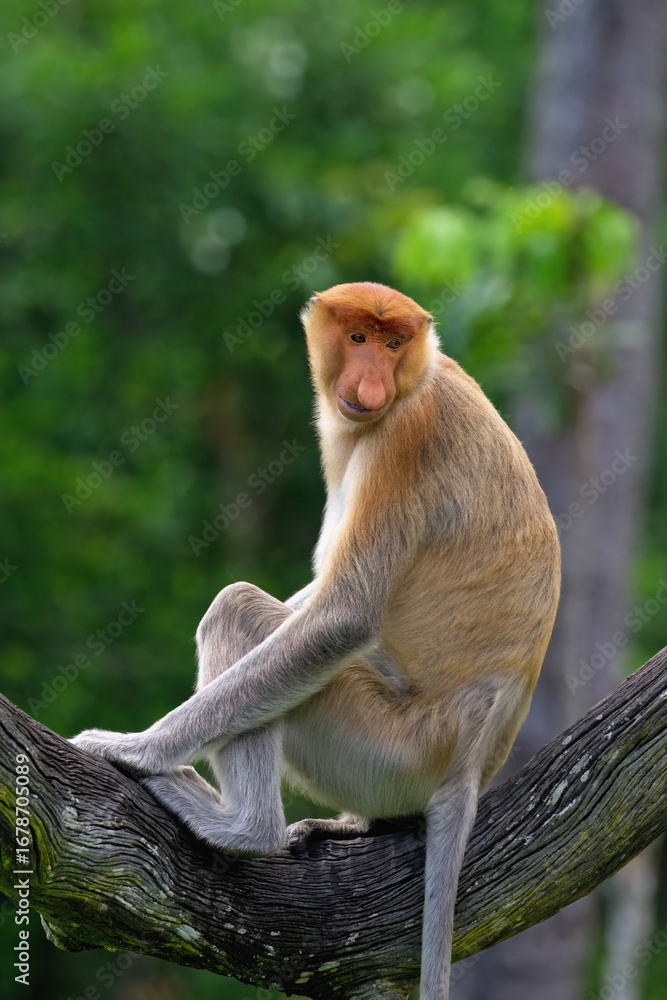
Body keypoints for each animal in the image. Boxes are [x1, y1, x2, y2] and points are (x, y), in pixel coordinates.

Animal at [71, 281, 560, 1000]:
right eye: (358, 338)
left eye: (393, 343)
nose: (372, 381)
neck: (418, 380)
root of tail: (471, 762)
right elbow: (315, 602)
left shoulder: (403, 439)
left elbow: (342, 618)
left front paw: (134, 748)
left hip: (390, 745)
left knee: (239, 612)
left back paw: (245, 828)